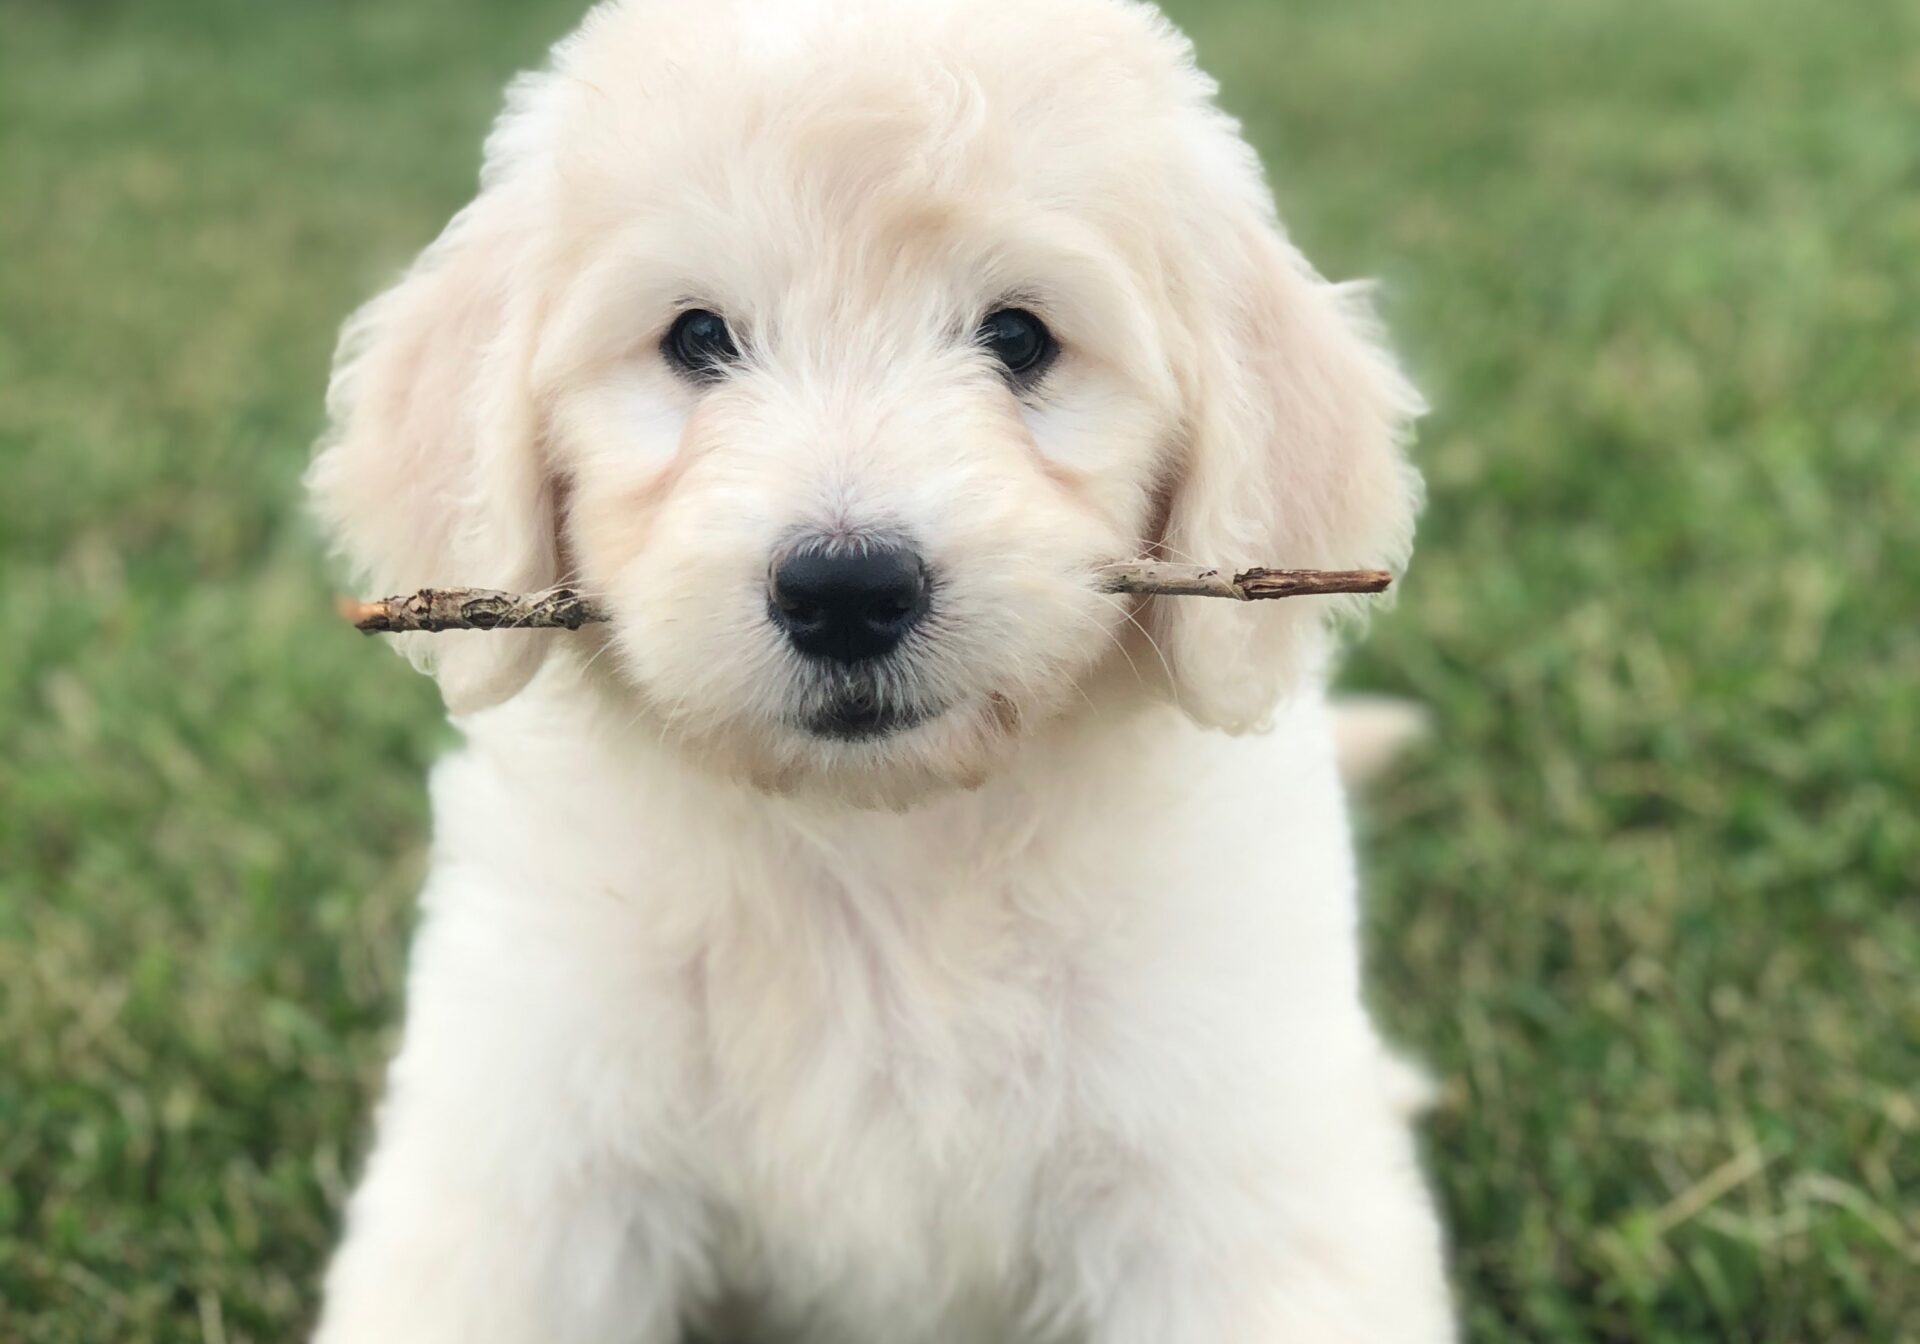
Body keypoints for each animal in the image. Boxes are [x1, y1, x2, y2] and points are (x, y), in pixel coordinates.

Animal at [314, 0, 1443, 1336]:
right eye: (696, 337)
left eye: (1020, 337)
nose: (846, 590)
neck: (879, 852)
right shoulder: (532, 1138)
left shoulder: (1228, 1152)